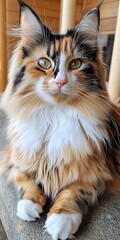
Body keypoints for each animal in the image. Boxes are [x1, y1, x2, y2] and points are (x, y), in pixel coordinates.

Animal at [0, 0, 119, 240]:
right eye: (44, 63)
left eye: (75, 64)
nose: (61, 81)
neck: (55, 116)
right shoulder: (15, 158)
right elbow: (25, 179)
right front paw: (29, 205)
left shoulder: (98, 172)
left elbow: (74, 191)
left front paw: (61, 220)